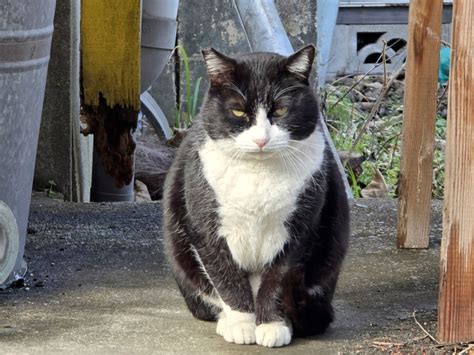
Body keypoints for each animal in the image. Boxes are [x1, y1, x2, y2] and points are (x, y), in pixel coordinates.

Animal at [163, 43, 348, 348]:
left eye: (282, 109)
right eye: (239, 112)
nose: (261, 139)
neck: (258, 173)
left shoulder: (299, 230)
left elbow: (276, 281)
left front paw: (272, 325)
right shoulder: (206, 230)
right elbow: (226, 277)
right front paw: (242, 323)